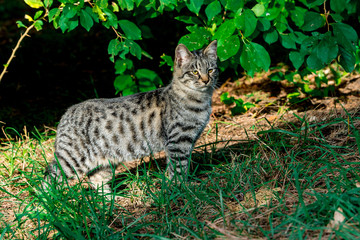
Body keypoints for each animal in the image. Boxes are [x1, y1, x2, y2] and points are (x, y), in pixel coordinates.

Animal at [44, 39, 219, 193]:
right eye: (195, 72)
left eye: (210, 70)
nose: (206, 80)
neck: (200, 100)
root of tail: (66, 113)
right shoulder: (178, 142)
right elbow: (179, 169)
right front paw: (182, 188)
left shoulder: (187, 141)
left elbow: (180, 166)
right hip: (72, 158)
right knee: (48, 176)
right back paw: (48, 203)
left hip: (106, 161)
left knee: (95, 179)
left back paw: (111, 199)